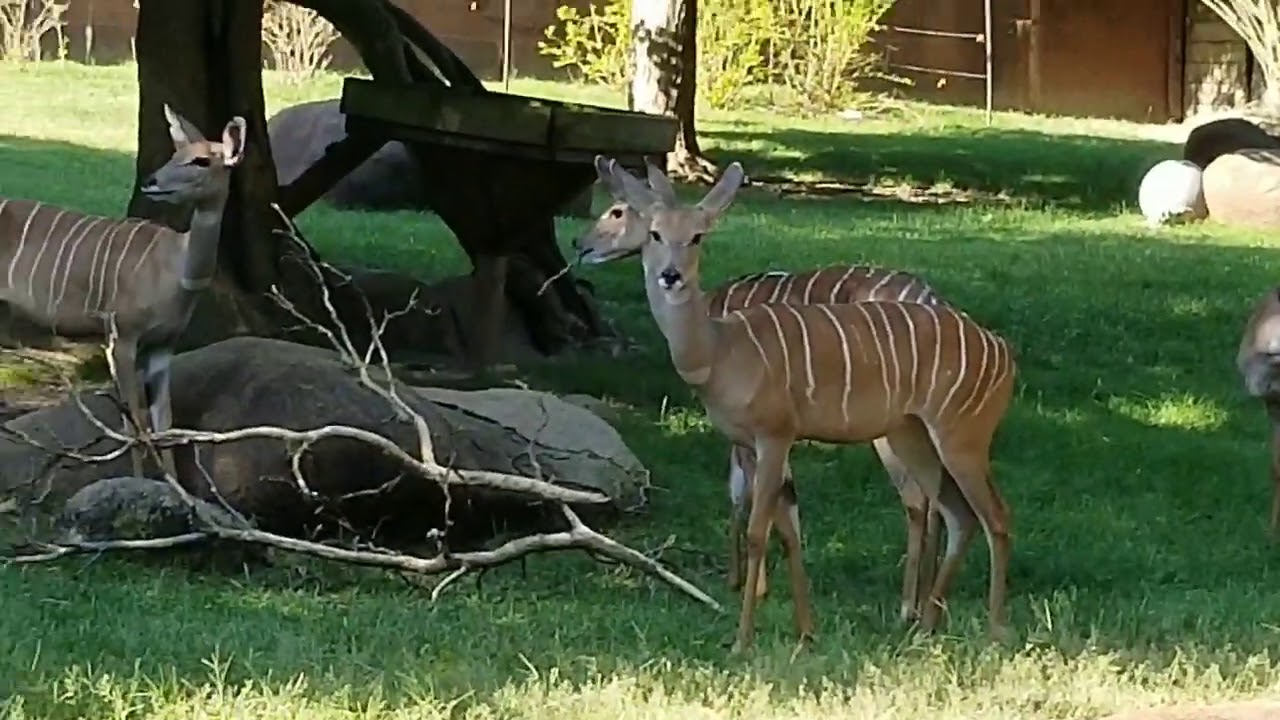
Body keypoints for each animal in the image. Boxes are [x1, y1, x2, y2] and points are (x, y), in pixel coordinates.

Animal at [0, 103, 245, 479]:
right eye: (176, 154)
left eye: (202, 160)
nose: (151, 181)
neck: (174, 269)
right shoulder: (121, 337)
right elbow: (134, 422)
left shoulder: (163, 346)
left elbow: (163, 423)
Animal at [599, 154, 1018, 648]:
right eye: (655, 234)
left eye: (697, 235)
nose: (671, 276)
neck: (721, 350)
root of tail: (1005, 353)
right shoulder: (755, 442)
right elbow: (787, 526)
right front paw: (805, 631)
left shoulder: (774, 434)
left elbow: (760, 528)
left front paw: (743, 639)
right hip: (912, 434)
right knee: (954, 513)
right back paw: (925, 624)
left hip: (962, 436)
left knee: (994, 517)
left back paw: (992, 628)